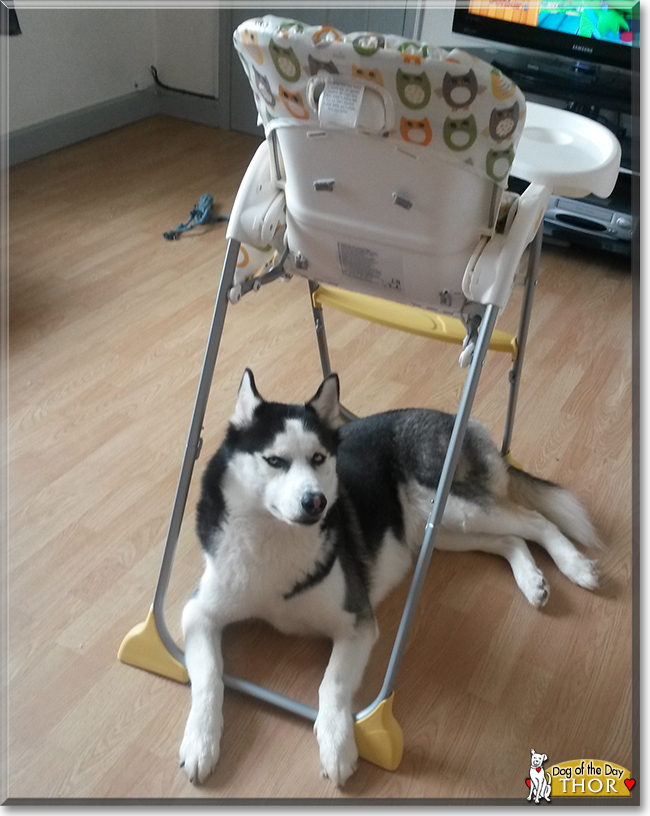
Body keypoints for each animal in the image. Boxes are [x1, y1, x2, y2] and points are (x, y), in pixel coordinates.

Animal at [176, 370, 596, 784]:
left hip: (451, 505)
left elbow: (331, 683)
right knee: (511, 539)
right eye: (274, 460)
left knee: (535, 522)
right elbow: (210, 677)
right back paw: (532, 581)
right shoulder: (198, 614)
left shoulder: (356, 623)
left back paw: (574, 565)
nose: (317, 502)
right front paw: (200, 742)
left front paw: (337, 744)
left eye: (318, 458)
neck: (274, 539)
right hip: (439, 531)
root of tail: (452, 418)